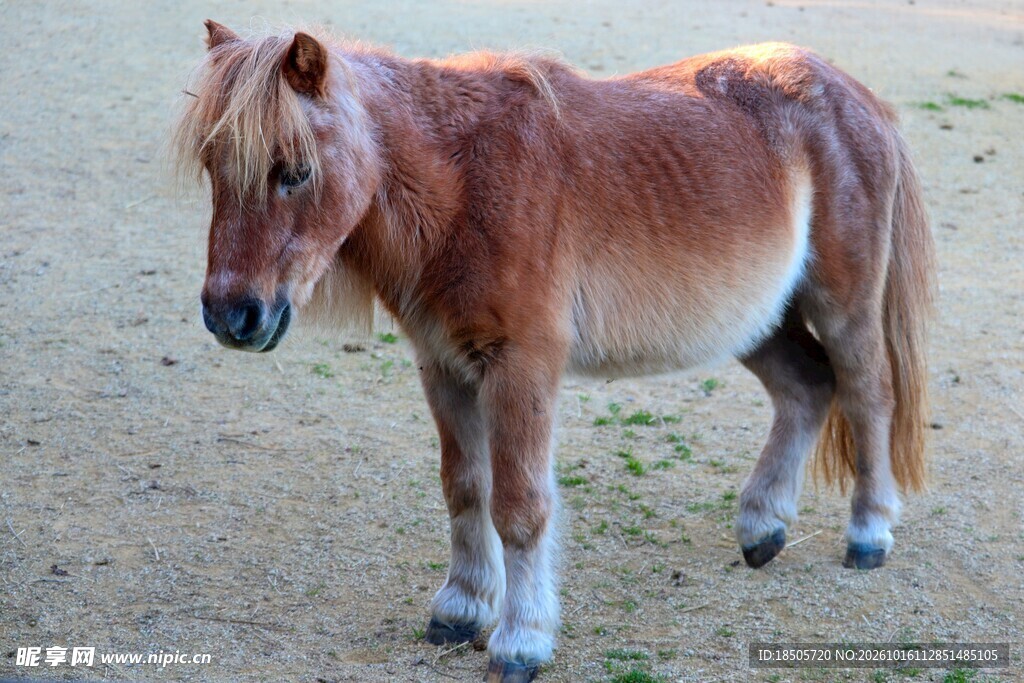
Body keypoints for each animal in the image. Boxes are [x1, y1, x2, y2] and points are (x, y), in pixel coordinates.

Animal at [175, 21, 935, 682]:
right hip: (757, 319)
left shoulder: (523, 370)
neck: (465, 184)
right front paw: (461, 608)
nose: (231, 315)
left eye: (295, 171)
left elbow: (520, 506)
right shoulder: (445, 366)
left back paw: (869, 534)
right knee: (807, 389)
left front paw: (521, 641)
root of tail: (852, 92)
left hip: (842, 306)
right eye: (214, 166)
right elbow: (465, 487)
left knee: (867, 395)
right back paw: (763, 528)